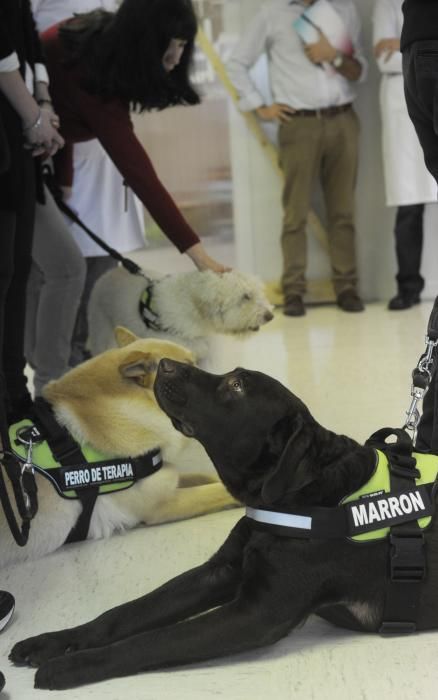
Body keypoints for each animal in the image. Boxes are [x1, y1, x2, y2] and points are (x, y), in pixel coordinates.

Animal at [0, 330, 238, 568]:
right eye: (187, 368)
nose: (227, 384)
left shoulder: (168, 478)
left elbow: (208, 477)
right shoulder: (163, 505)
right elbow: (218, 491)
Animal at [8, 360, 438, 688]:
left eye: (236, 386)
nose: (163, 363)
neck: (301, 495)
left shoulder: (256, 613)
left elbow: (153, 640)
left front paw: (74, 665)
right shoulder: (220, 571)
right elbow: (124, 614)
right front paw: (56, 641)